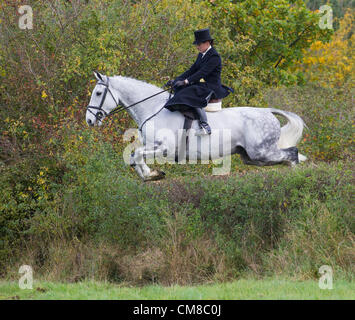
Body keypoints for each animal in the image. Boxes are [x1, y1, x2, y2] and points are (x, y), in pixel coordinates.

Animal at [85, 73, 306, 182]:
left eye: (98, 93)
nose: (89, 120)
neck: (153, 108)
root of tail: (267, 111)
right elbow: (133, 158)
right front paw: (151, 175)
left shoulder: (164, 147)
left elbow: (136, 154)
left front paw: (150, 174)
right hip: (252, 157)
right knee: (287, 156)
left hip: (261, 152)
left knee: (292, 153)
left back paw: (297, 177)